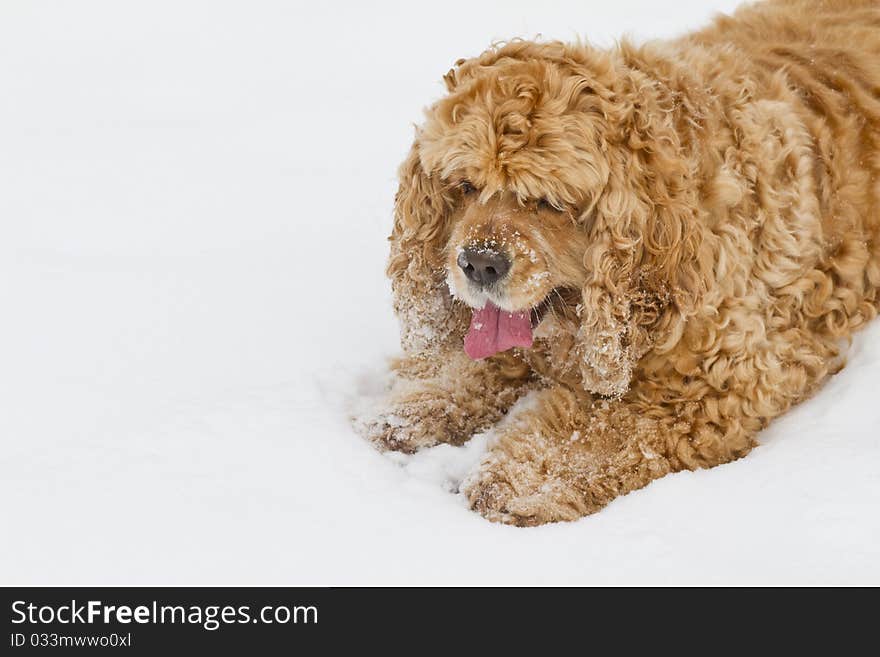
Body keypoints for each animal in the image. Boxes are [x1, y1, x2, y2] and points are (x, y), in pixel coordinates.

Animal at [354, 0, 876, 524]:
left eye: (548, 202)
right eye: (464, 185)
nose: (480, 263)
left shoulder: (718, 383)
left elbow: (602, 435)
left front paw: (519, 483)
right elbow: (482, 360)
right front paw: (416, 406)